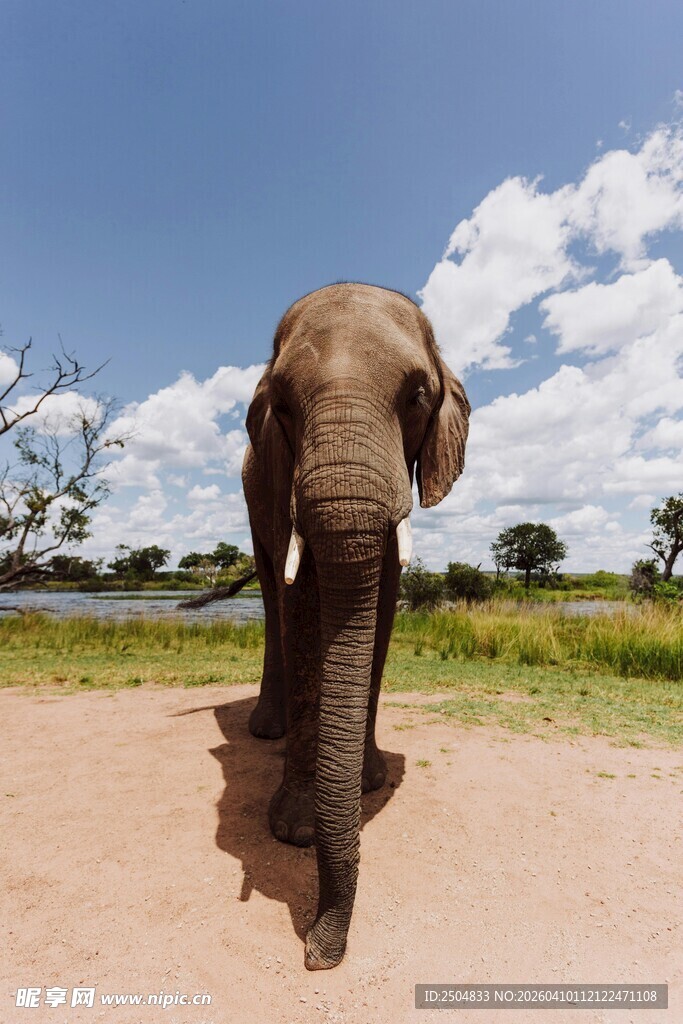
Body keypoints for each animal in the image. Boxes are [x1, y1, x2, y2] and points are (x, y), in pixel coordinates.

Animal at [241, 282, 470, 970]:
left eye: (416, 396)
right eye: (283, 405)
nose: (318, 952)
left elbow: (385, 603)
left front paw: (370, 786)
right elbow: (299, 607)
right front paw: (293, 831)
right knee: (272, 593)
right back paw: (266, 731)